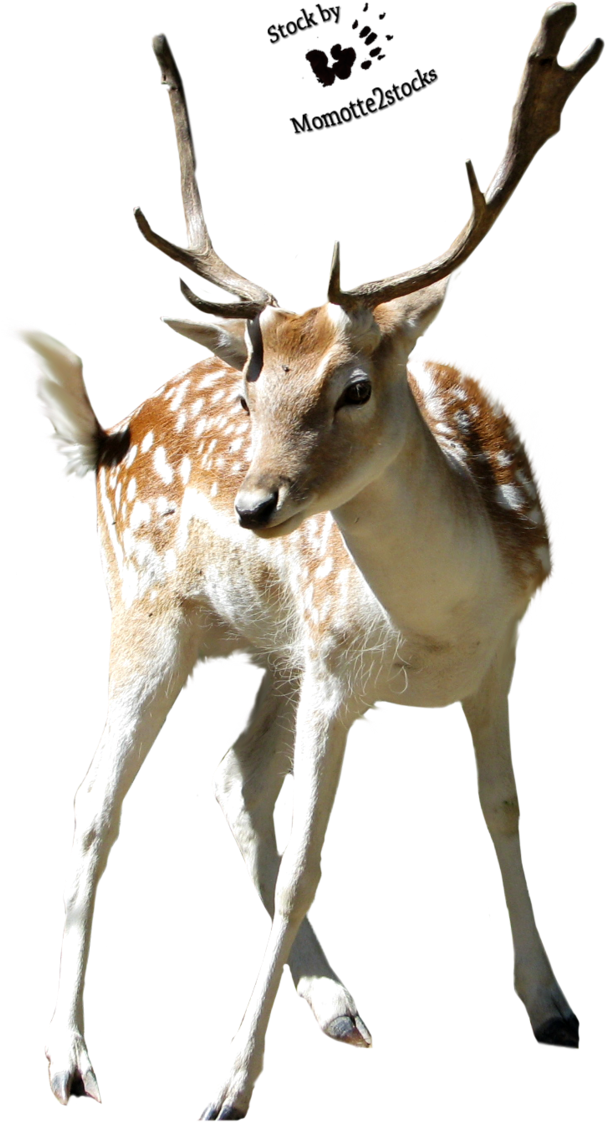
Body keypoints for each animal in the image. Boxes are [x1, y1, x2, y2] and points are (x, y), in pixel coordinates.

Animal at [9, 4, 599, 1118]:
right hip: (150, 617)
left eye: (356, 385)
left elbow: (502, 808)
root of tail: (107, 436)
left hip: (277, 650)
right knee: (97, 803)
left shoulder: (498, 652)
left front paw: (551, 1008)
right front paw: (229, 1086)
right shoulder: (335, 669)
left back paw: (336, 1006)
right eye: (250, 395)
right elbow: (303, 867)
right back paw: (70, 1061)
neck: (436, 624)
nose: (254, 505)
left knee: (234, 778)